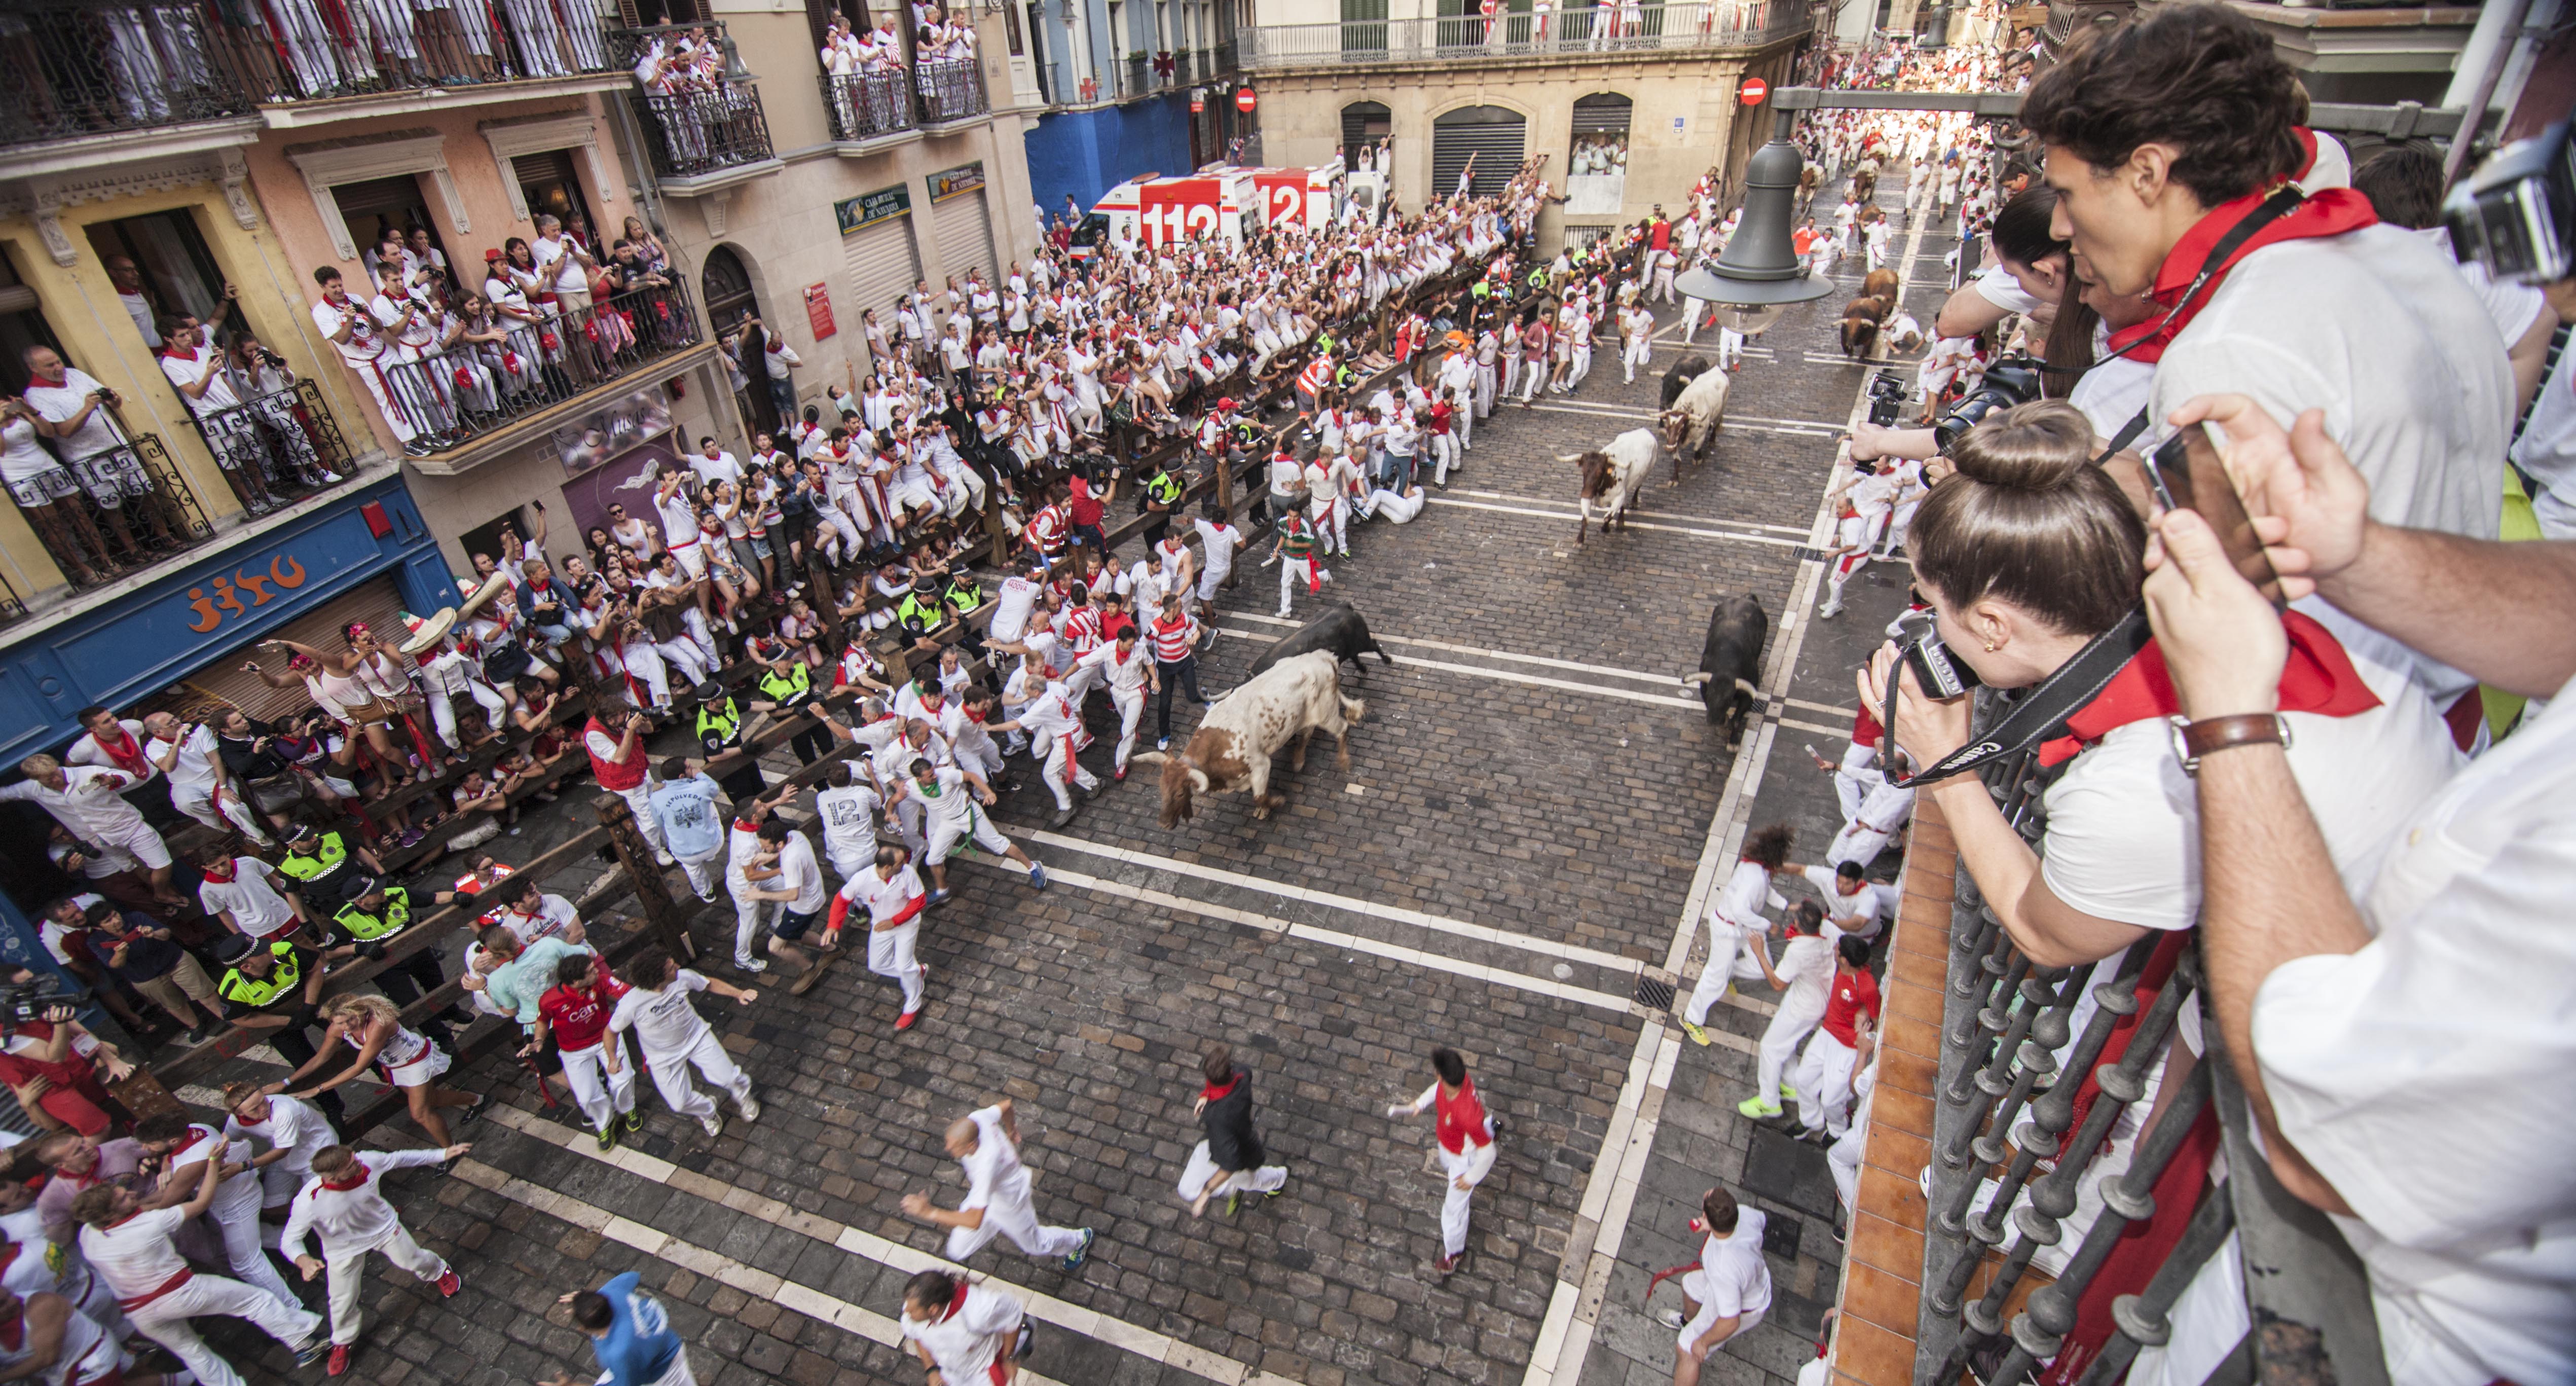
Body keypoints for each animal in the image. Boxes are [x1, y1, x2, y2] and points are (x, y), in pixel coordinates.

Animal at [1138, 646, 1360, 819]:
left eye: (1179, 794)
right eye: (1161, 788)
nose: (1164, 823)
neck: (1217, 745)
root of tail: (1323, 657)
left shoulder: (1261, 766)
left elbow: (1259, 797)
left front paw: (1274, 804)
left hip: (1327, 713)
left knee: (1342, 729)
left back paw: (1344, 761)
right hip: (1306, 715)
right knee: (1307, 733)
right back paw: (1298, 760)